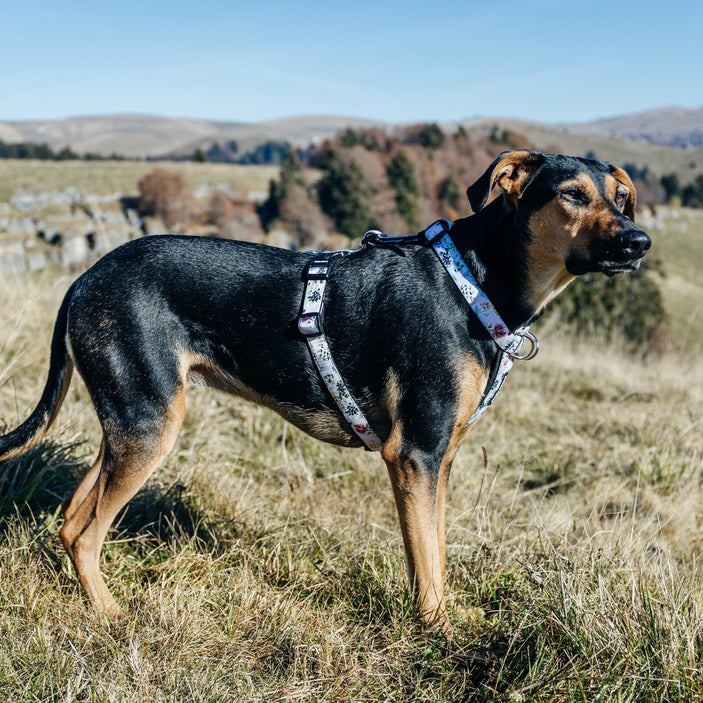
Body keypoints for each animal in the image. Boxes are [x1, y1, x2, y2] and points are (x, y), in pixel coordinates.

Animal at [0, 151, 652, 628]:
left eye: (620, 199)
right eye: (572, 195)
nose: (639, 242)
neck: (474, 280)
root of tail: (84, 280)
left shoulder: (439, 458)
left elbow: (434, 551)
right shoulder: (415, 454)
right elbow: (428, 562)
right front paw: (438, 634)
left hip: (131, 420)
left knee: (70, 521)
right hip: (150, 424)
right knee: (86, 533)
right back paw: (113, 618)